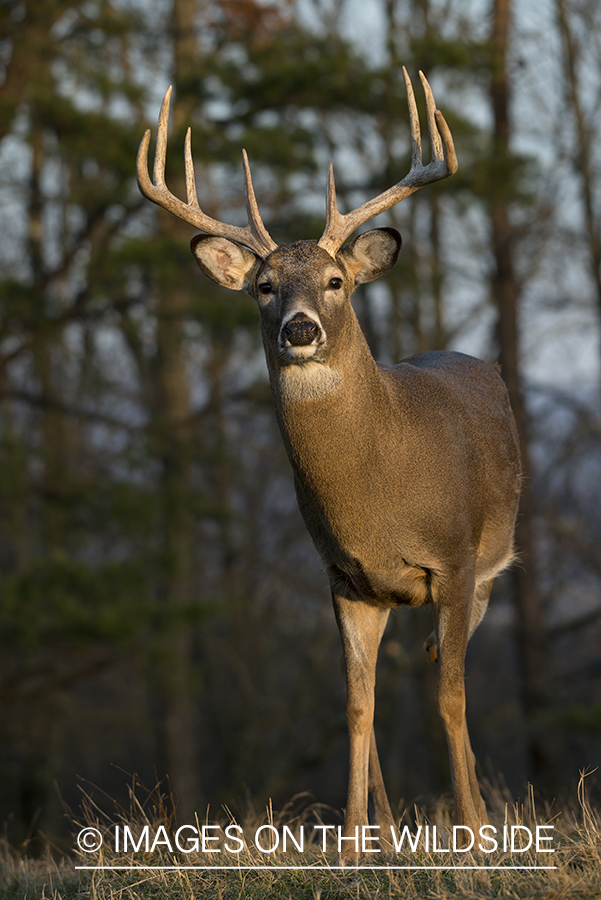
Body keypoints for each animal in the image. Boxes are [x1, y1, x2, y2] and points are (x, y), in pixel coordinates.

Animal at [136, 67, 520, 860]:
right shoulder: (343, 577)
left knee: (443, 669)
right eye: (263, 286)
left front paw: (472, 835)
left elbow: (451, 697)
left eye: (337, 282)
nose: (300, 328)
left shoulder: (455, 561)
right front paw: (351, 844)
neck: (379, 487)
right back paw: (386, 831)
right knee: (386, 688)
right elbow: (355, 706)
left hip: (489, 567)